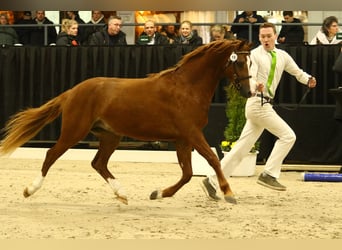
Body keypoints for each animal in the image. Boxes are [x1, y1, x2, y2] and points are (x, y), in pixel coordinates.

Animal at [0, 40, 251, 205]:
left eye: (249, 61)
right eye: (239, 62)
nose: (249, 92)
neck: (186, 88)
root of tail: (72, 91)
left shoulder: (183, 139)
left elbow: (188, 173)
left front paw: (158, 193)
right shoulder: (191, 133)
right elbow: (212, 159)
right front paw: (229, 193)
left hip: (110, 135)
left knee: (98, 163)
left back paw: (121, 194)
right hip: (75, 131)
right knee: (52, 154)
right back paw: (30, 190)